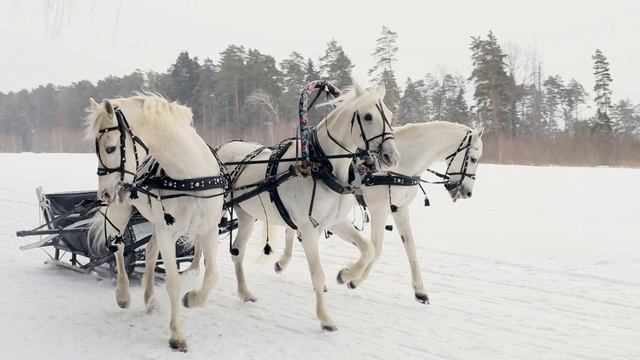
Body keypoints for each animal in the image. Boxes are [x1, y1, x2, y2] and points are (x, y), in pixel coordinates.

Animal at [85, 95, 225, 352]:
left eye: (110, 148)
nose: (104, 193)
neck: (189, 177)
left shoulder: (208, 230)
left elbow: (211, 276)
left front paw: (192, 299)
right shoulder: (168, 233)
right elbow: (173, 282)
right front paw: (177, 334)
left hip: (155, 222)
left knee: (149, 253)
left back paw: (150, 298)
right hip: (122, 211)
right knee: (118, 247)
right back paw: (123, 294)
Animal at [212, 86, 398, 330]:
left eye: (391, 115)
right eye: (368, 117)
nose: (391, 156)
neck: (320, 166)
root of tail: (222, 147)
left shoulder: (335, 221)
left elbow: (368, 249)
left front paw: (346, 275)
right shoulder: (308, 228)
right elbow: (317, 274)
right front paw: (325, 318)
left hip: (246, 216)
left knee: (237, 252)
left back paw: (244, 292)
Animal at [276, 121, 484, 304]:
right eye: (474, 159)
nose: (468, 193)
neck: (399, 167)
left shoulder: (400, 209)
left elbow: (410, 248)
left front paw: (420, 291)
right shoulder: (379, 210)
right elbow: (376, 249)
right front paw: (351, 278)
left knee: (293, 229)